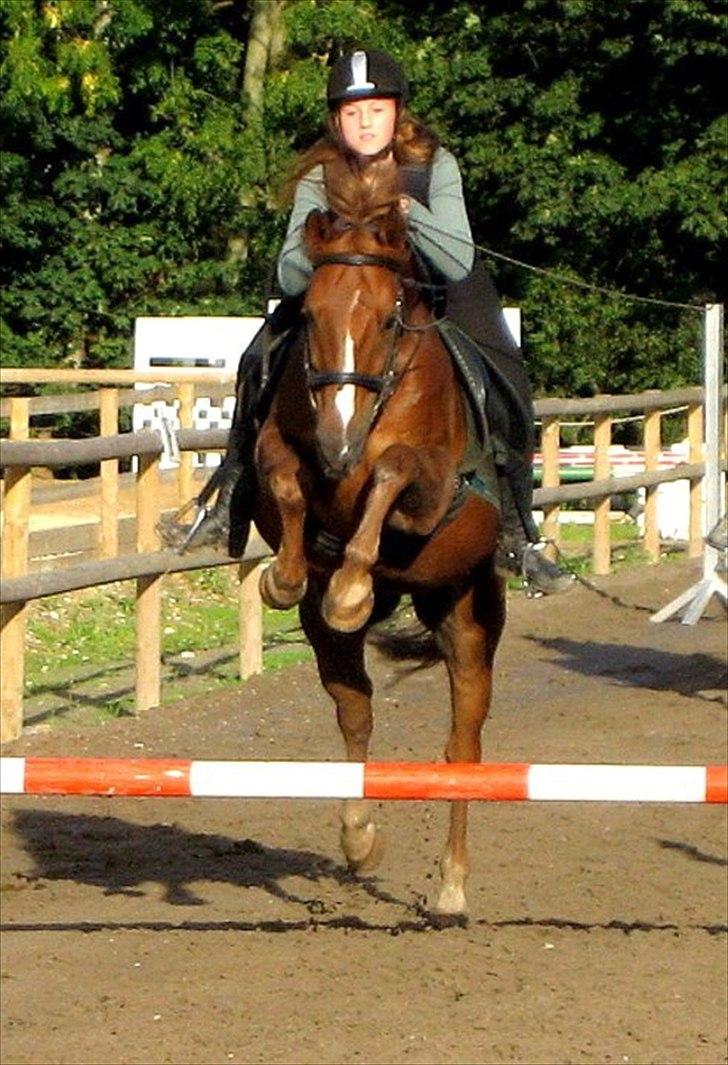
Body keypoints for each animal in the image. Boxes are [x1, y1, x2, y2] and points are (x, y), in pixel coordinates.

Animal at [251, 160, 506, 919]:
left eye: (389, 318)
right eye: (310, 316)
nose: (338, 439)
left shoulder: (431, 491)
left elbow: (392, 470)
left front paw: (352, 584)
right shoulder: (280, 453)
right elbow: (286, 481)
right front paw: (289, 574)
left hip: (465, 613)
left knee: (461, 746)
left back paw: (451, 884)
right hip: (337, 649)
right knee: (356, 713)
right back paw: (359, 836)